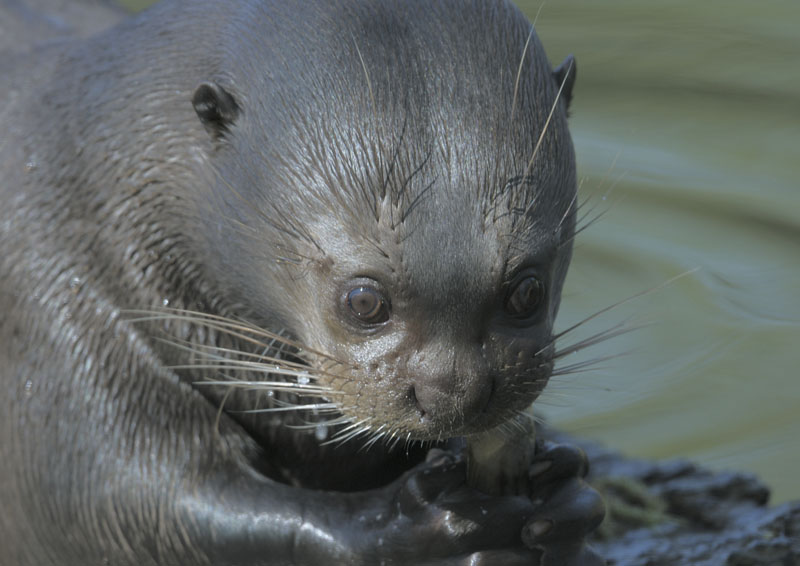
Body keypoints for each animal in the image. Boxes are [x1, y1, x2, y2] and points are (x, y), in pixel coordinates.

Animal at [0, 0, 604, 564]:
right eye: (364, 301)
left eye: (527, 291)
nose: (454, 393)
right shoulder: (61, 324)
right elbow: (138, 500)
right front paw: (410, 522)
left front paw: (563, 493)